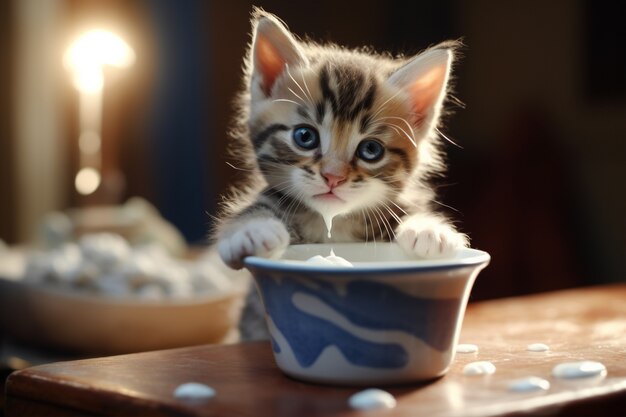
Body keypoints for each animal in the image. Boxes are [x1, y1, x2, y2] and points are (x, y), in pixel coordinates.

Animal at [212, 9, 466, 340]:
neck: (332, 225)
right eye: (305, 136)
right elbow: (252, 210)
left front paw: (428, 230)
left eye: (371, 150)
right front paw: (252, 230)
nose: (333, 177)